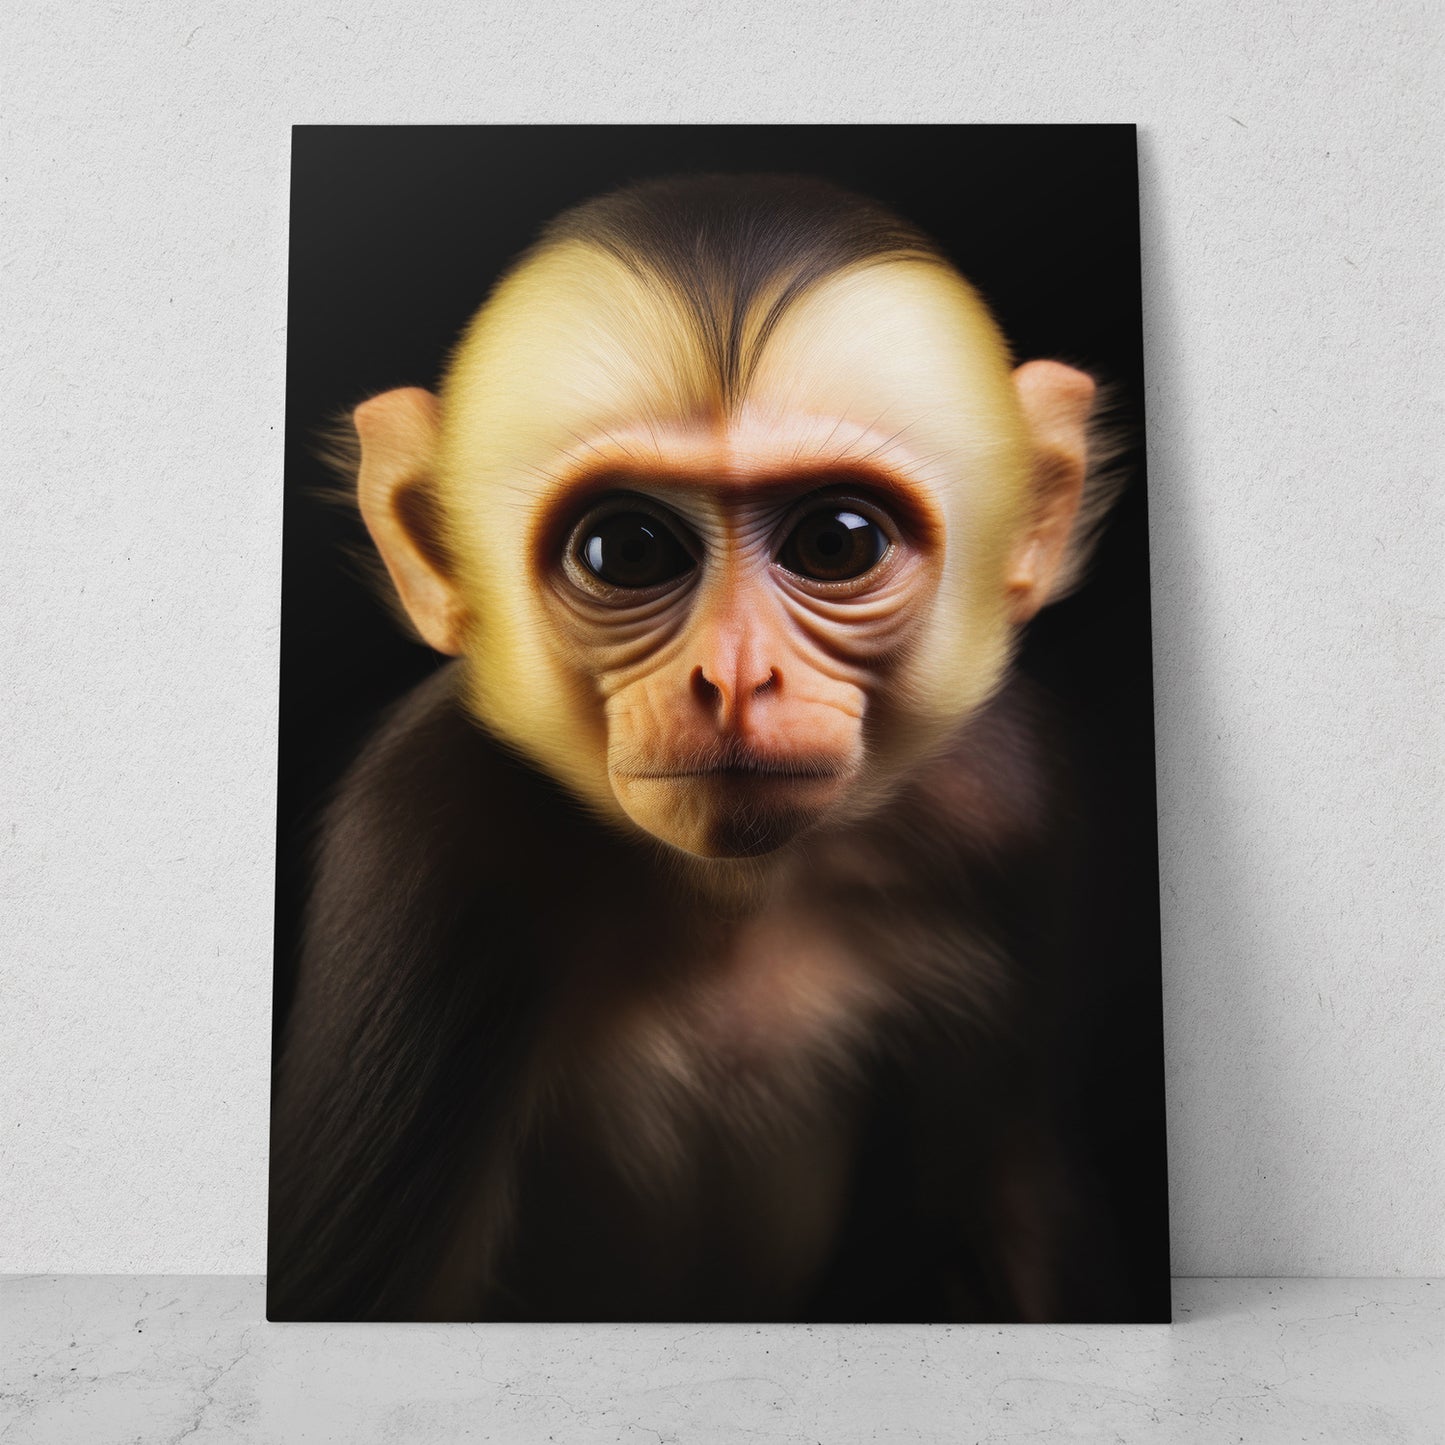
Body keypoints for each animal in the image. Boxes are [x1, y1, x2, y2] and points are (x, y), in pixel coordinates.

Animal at [267, 174, 1132, 1323]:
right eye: (625, 548)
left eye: (837, 542)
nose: (732, 677)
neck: (733, 897)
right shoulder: (426, 840)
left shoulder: (1010, 807)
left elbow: (1018, 1190)